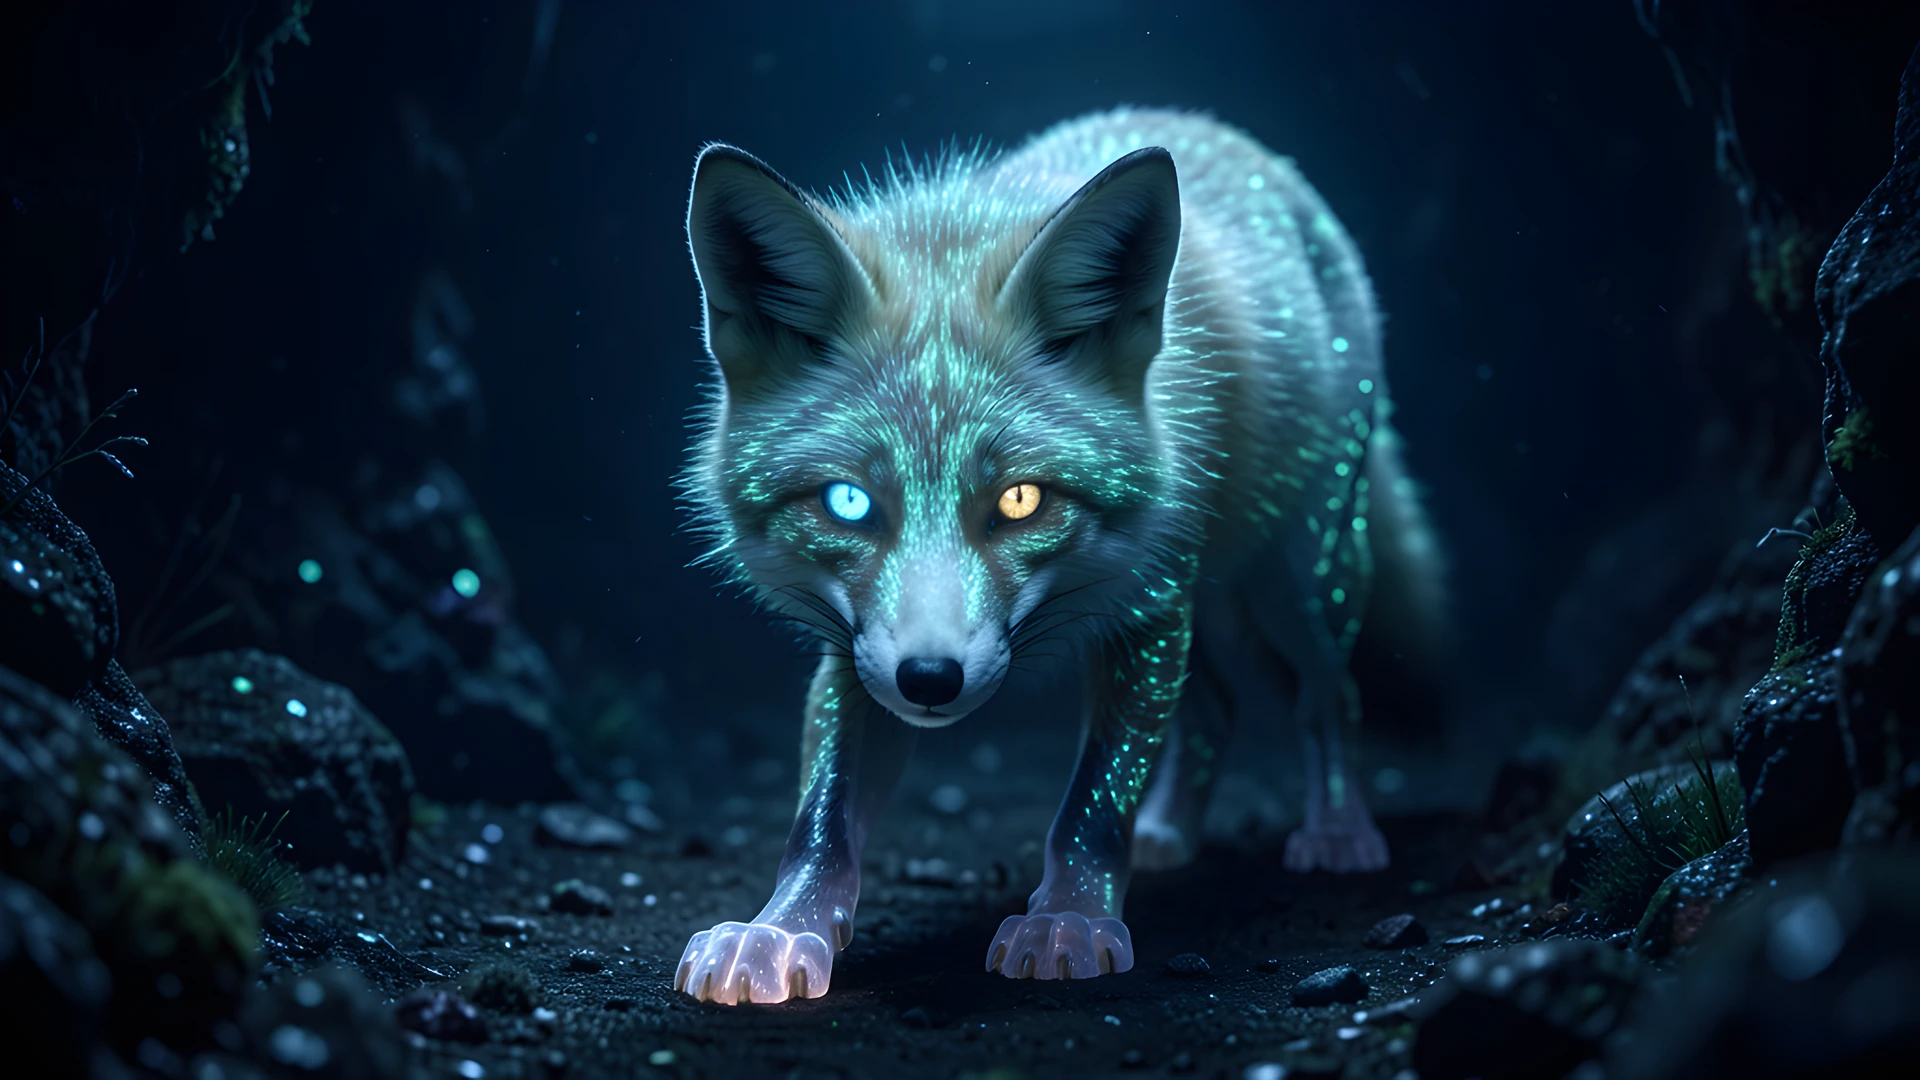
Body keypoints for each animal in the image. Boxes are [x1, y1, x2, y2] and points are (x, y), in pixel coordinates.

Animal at [672, 108, 1441, 1005]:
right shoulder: (855, 650)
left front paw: (1068, 920)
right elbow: (818, 824)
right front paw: (776, 933)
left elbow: (1091, 804)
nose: (929, 681)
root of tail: (1228, 137)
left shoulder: (1150, 602)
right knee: (1216, 709)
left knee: (1330, 695)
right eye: (849, 504)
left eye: (1020, 501)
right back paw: (1169, 831)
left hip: (1299, 584)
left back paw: (1339, 829)